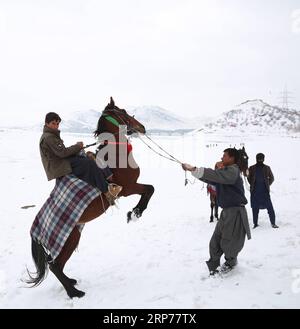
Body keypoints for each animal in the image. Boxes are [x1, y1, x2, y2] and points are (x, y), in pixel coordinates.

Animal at [27, 96, 155, 298]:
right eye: (123, 112)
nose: (141, 127)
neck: (114, 156)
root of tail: (35, 230)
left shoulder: (130, 187)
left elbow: (150, 190)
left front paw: (134, 212)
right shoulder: (128, 188)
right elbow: (150, 189)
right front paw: (135, 213)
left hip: (72, 239)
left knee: (57, 264)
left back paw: (71, 283)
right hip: (68, 239)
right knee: (54, 265)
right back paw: (74, 292)